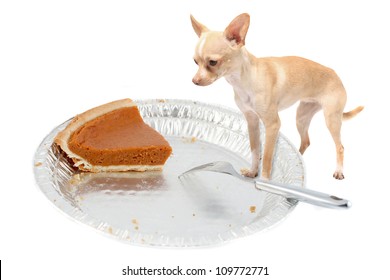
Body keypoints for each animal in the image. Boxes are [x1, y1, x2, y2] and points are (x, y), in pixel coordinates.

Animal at [191, 13, 362, 179]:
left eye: (213, 62)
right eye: (195, 62)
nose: (194, 81)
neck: (244, 79)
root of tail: (337, 76)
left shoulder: (273, 125)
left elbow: (267, 158)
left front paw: (264, 182)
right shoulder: (252, 121)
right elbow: (255, 150)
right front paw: (253, 172)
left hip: (331, 119)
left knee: (340, 147)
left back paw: (338, 171)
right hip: (302, 117)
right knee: (306, 141)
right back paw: (299, 158)